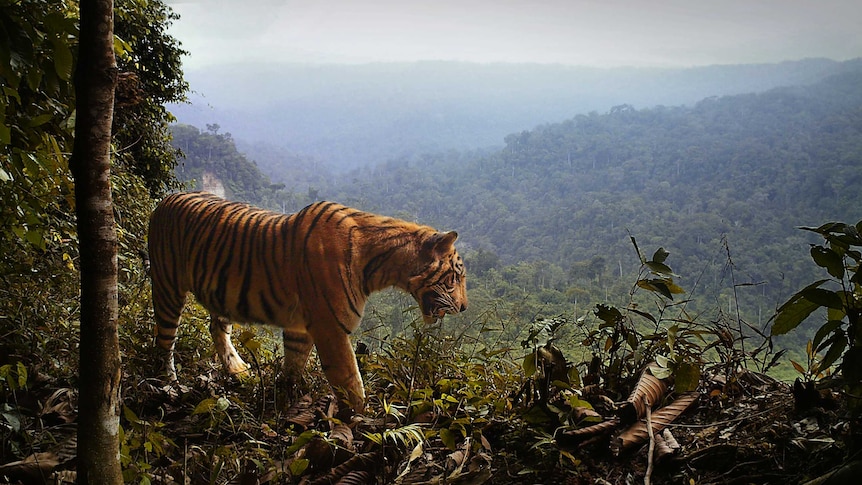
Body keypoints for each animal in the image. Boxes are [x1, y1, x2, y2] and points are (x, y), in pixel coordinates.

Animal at [150, 191, 472, 410]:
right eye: (456, 276)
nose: (464, 307)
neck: (381, 266)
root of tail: (167, 197)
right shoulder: (330, 328)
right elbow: (350, 381)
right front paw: (362, 423)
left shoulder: (300, 327)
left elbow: (294, 364)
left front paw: (285, 399)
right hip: (167, 289)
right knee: (164, 342)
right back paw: (168, 385)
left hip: (221, 295)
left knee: (215, 327)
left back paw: (237, 369)